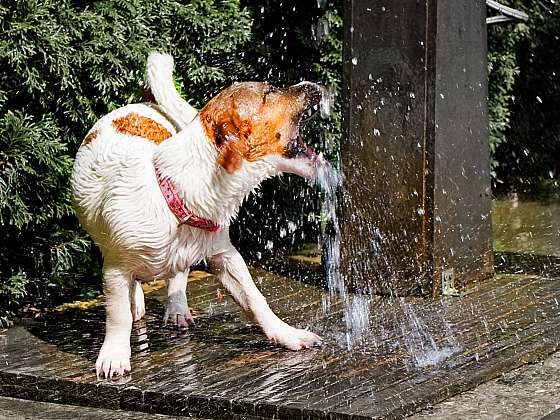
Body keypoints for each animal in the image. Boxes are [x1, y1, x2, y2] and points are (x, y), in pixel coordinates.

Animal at [71, 53, 330, 380]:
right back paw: (138, 302)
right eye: (270, 92)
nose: (316, 83)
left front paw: (287, 335)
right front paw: (115, 355)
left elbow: (255, 299)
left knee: (178, 273)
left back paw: (177, 307)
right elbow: (118, 316)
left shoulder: (225, 255)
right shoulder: (115, 269)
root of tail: (143, 103)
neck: (175, 191)